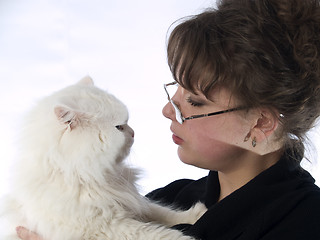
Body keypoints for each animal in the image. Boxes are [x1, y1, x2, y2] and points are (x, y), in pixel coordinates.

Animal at [0, 77, 205, 240]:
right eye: (119, 127)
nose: (134, 132)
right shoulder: (108, 226)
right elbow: (157, 232)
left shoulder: (131, 201)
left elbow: (164, 213)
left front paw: (196, 214)